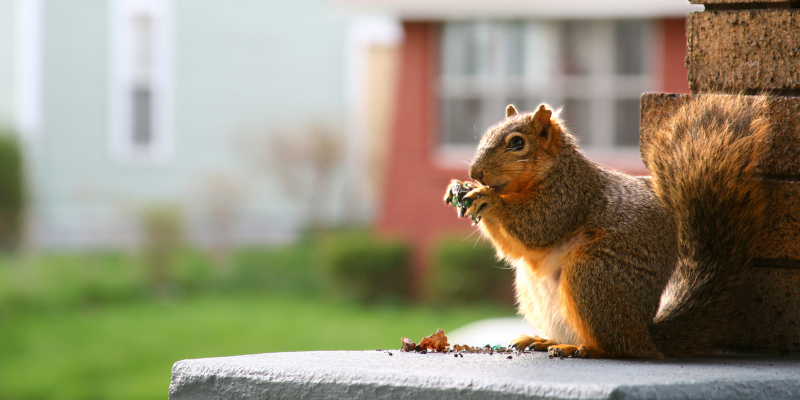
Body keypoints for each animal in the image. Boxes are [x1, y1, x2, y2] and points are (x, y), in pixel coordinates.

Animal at [444, 94, 768, 360]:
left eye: (517, 143)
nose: (475, 172)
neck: (553, 170)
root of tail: (644, 335)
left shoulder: (568, 197)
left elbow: (537, 226)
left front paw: (488, 198)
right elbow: (514, 249)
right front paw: (457, 187)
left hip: (592, 276)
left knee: (615, 347)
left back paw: (580, 348)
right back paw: (542, 340)